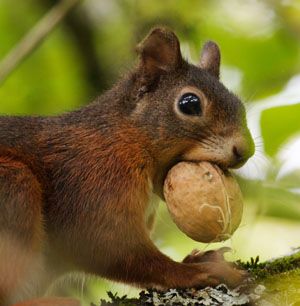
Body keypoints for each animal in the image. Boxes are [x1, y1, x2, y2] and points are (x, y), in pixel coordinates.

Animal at [0, 27, 253, 304]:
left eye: (240, 105)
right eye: (190, 103)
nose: (246, 150)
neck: (128, 136)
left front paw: (197, 259)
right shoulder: (94, 181)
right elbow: (110, 246)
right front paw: (194, 271)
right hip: (14, 190)